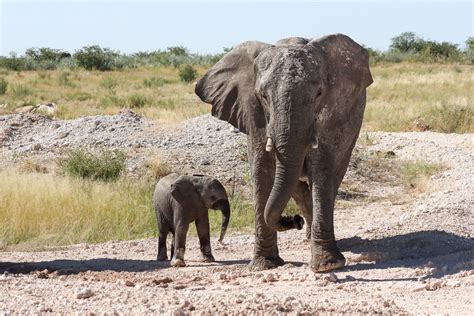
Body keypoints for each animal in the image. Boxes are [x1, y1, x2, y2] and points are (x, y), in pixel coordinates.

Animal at [194, 34, 372, 272]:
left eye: (319, 94)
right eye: (263, 96)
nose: (294, 221)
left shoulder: (331, 117)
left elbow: (322, 171)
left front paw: (328, 266)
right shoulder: (255, 116)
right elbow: (262, 172)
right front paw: (264, 265)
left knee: (332, 176)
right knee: (295, 184)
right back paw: (307, 234)